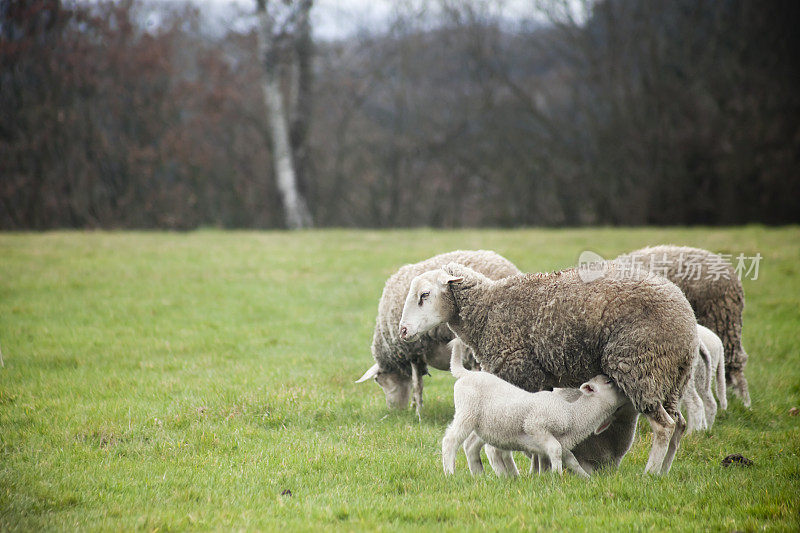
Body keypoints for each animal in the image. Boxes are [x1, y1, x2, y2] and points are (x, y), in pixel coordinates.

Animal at [354, 249, 520, 416]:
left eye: (378, 380)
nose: (394, 410)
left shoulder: (414, 352)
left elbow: (417, 385)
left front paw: (418, 413)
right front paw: (414, 407)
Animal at [440, 340, 628, 478]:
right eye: (609, 382)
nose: (626, 391)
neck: (573, 415)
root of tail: (466, 374)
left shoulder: (561, 442)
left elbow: (570, 458)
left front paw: (586, 478)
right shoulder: (536, 425)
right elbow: (555, 450)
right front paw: (557, 477)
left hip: (482, 424)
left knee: (471, 446)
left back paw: (481, 476)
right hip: (467, 412)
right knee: (450, 440)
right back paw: (450, 473)